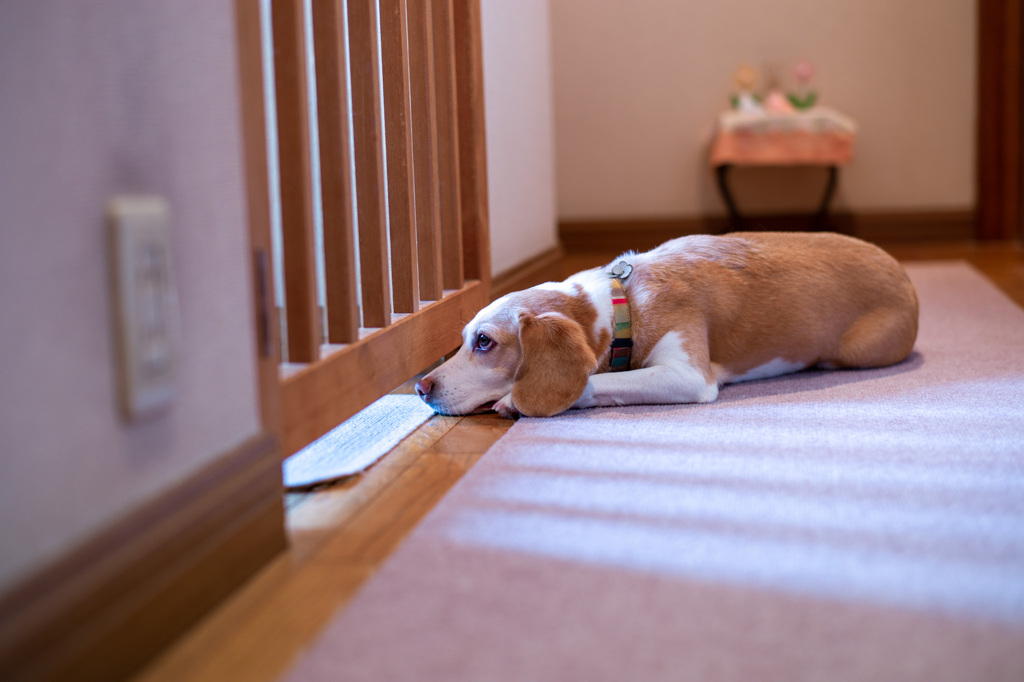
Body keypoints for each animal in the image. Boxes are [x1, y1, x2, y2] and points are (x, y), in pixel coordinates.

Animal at [415, 231, 921, 417]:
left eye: (484, 342)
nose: (419, 387)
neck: (623, 304)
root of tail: (905, 276)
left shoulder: (688, 375)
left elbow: (597, 382)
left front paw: (513, 401)